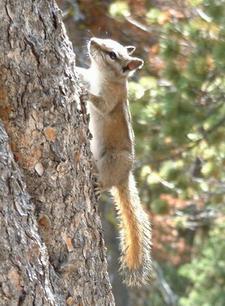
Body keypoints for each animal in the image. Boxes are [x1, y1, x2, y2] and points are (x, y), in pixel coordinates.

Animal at [76, 38, 152, 286]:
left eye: (112, 55)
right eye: (106, 41)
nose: (92, 41)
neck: (102, 75)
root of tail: (124, 176)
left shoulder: (112, 98)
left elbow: (101, 104)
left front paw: (86, 95)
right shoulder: (89, 74)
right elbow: (82, 73)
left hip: (114, 160)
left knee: (106, 182)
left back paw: (100, 185)